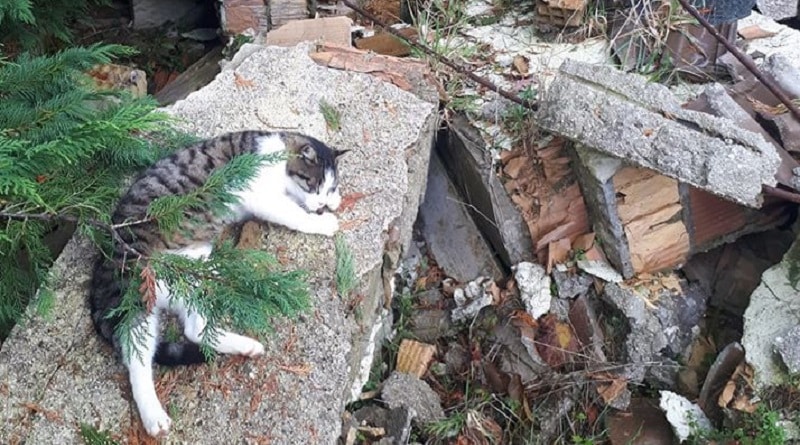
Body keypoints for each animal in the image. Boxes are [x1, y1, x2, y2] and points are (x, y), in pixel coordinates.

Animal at [90, 130, 346, 436]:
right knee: (136, 356)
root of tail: (103, 263)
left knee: (194, 330)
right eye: (312, 184)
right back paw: (154, 417)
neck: (278, 151)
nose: (321, 203)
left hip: (193, 276)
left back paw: (245, 346)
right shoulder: (261, 195)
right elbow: (293, 214)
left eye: (327, 187)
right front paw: (323, 222)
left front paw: (334, 201)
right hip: (135, 292)